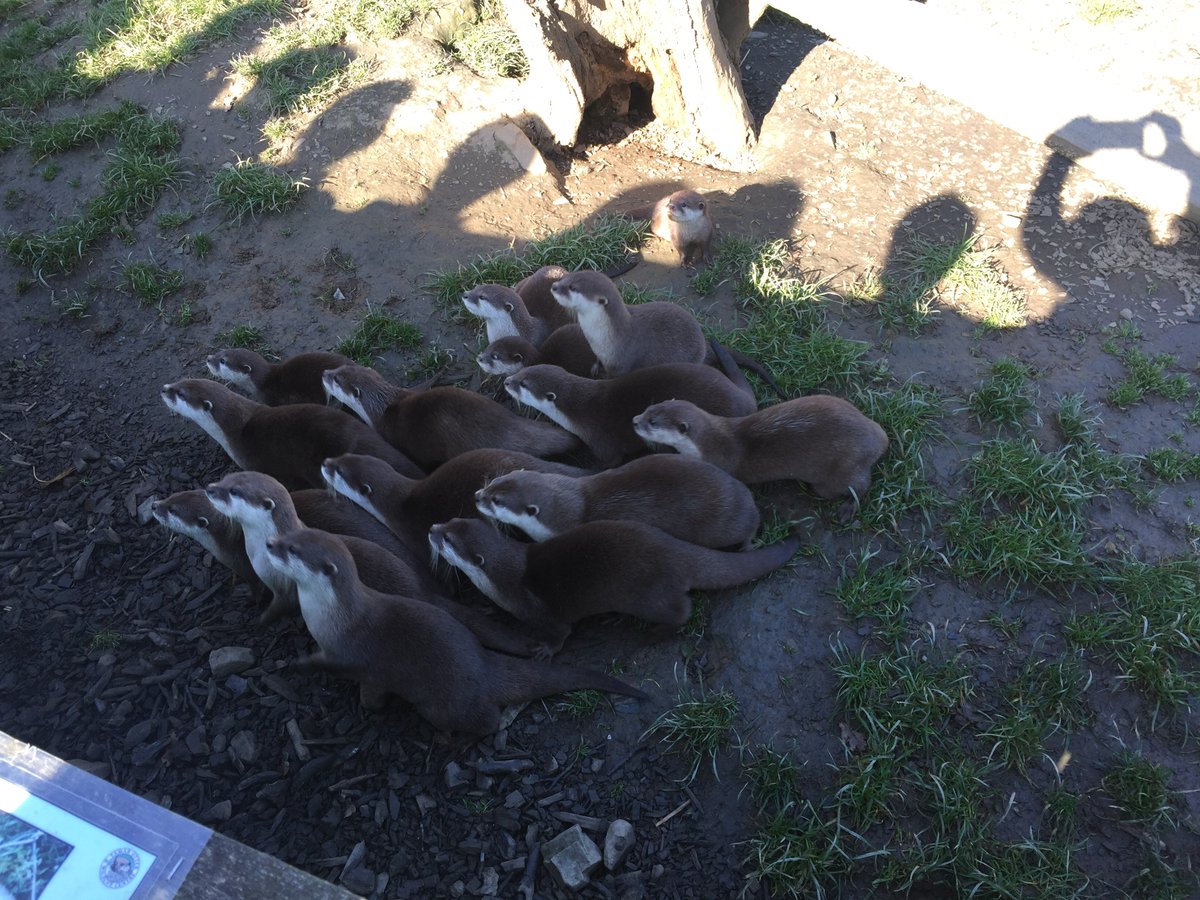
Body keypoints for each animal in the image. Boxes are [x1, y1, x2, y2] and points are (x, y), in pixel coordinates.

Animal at [267, 528, 646, 733]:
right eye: (289, 535)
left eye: (293, 549)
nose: (270, 544)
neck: (333, 618)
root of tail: (484, 668)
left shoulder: (356, 657)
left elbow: (363, 686)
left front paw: (303, 665)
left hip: (444, 705)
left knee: (488, 721)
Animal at [430, 518, 799, 651]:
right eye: (450, 521)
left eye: (448, 540)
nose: (431, 530)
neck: (507, 578)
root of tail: (675, 550)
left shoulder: (541, 611)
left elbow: (561, 633)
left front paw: (546, 649)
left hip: (650, 594)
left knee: (682, 610)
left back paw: (652, 634)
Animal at [504, 363, 755, 468]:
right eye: (522, 371)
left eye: (524, 384)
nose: (507, 381)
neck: (579, 410)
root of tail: (740, 397)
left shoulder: (601, 439)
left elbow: (610, 462)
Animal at [633, 396, 890, 521]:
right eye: (648, 408)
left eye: (653, 423)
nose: (634, 421)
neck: (707, 444)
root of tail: (877, 435)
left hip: (839, 471)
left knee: (860, 486)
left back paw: (848, 509)